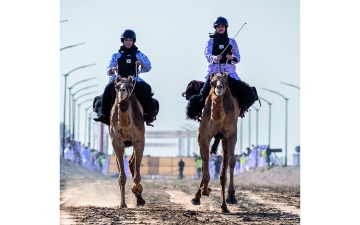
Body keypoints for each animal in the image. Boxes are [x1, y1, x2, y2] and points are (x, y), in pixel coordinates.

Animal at [107, 75, 146, 207]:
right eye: (116, 86)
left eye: (129, 86)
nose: (121, 91)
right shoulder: (117, 142)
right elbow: (122, 176)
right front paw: (122, 204)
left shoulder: (139, 140)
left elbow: (137, 175)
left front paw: (137, 191)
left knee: (132, 163)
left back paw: (139, 198)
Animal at [190, 72, 240, 213]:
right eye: (212, 82)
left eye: (226, 82)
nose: (219, 88)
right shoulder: (203, 136)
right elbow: (204, 162)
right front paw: (204, 191)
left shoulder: (231, 134)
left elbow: (232, 161)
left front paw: (230, 197)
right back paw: (197, 197)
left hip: (226, 138)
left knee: (227, 162)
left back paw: (226, 204)